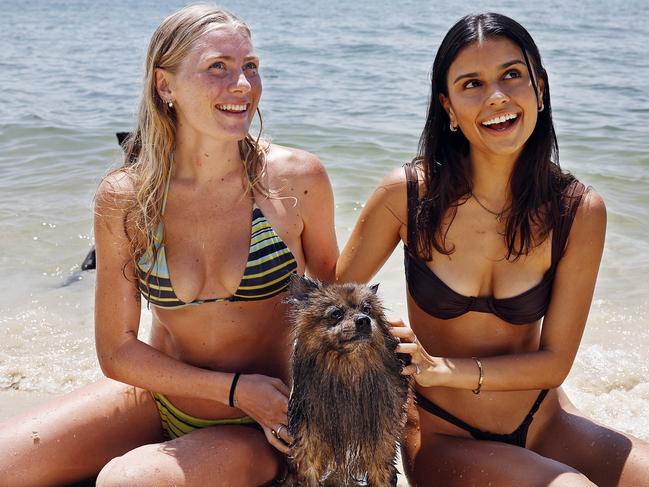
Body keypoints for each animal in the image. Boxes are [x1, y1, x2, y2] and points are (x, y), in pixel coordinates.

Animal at [284, 276, 410, 486]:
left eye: (367, 309)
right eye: (336, 313)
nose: (363, 320)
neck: (348, 371)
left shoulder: (381, 448)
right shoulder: (307, 452)